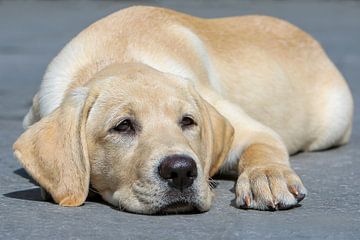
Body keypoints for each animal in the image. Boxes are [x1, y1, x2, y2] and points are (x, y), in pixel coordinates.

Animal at [13, 6, 352, 214]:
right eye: (123, 126)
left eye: (188, 122)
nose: (180, 171)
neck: (115, 55)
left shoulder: (253, 129)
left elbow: (263, 149)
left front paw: (267, 177)